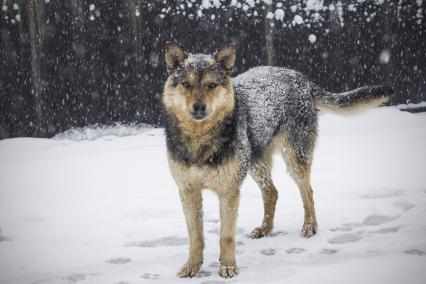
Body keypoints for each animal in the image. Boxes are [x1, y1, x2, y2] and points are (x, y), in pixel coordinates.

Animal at [162, 42, 392, 278]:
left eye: (211, 85)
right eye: (186, 84)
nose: (198, 107)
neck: (199, 140)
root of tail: (301, 78)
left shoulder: (229, 191)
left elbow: (226, 236)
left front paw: (227, 266)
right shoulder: (188, 192)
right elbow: (195, 236)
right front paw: (191, 267)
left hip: (294, 159)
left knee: (307, 192)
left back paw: (309, 226)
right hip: (256, 164)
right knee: (272, 192)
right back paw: (265, 229)